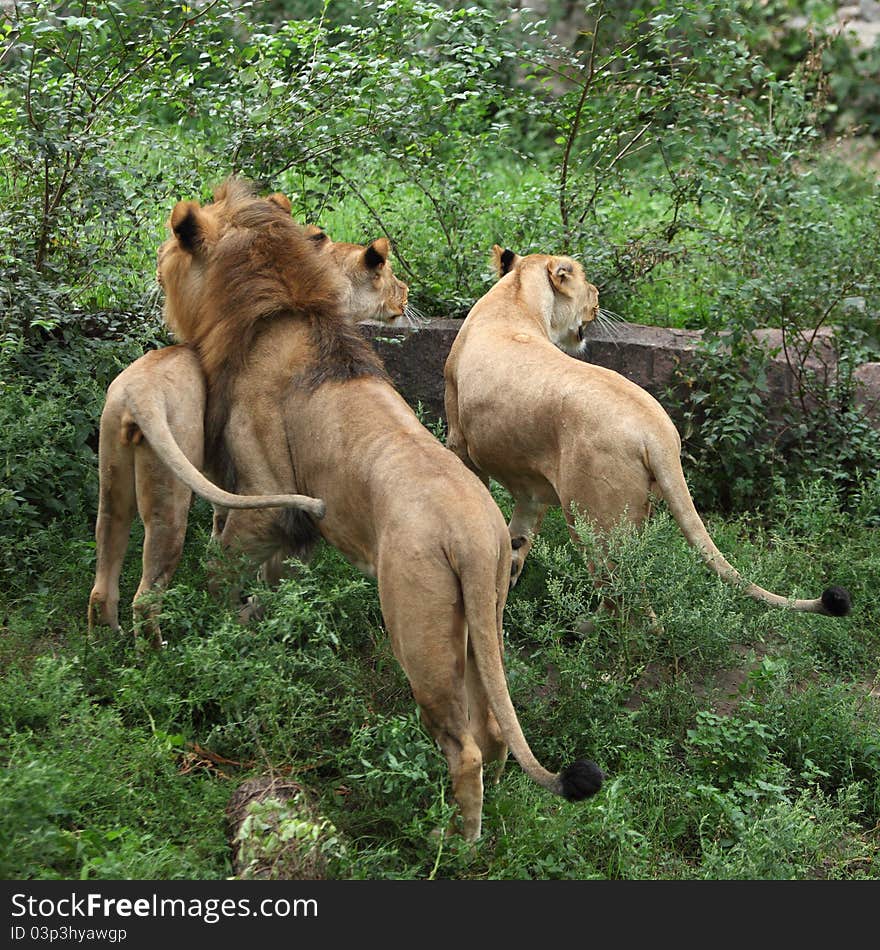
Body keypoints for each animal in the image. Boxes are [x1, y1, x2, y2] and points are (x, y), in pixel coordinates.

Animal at [153, 178, 604, 840]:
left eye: (168, 255)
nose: (156, 276)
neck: (279, 310)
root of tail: (475, 538)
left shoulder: (265, 495)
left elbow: (221, 572)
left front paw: (212, 635)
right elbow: (279, 582)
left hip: (418, 630)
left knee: (464, 747)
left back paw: (455, 843)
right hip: (481, 620)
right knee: (494, 732)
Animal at [446, 244, 852, 616]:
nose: (598, 295)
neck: (516, 299)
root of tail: (656, 431)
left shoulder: (459, 439)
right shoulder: (531, 484)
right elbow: (518, 538)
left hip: (596, 521)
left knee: (630, 605)